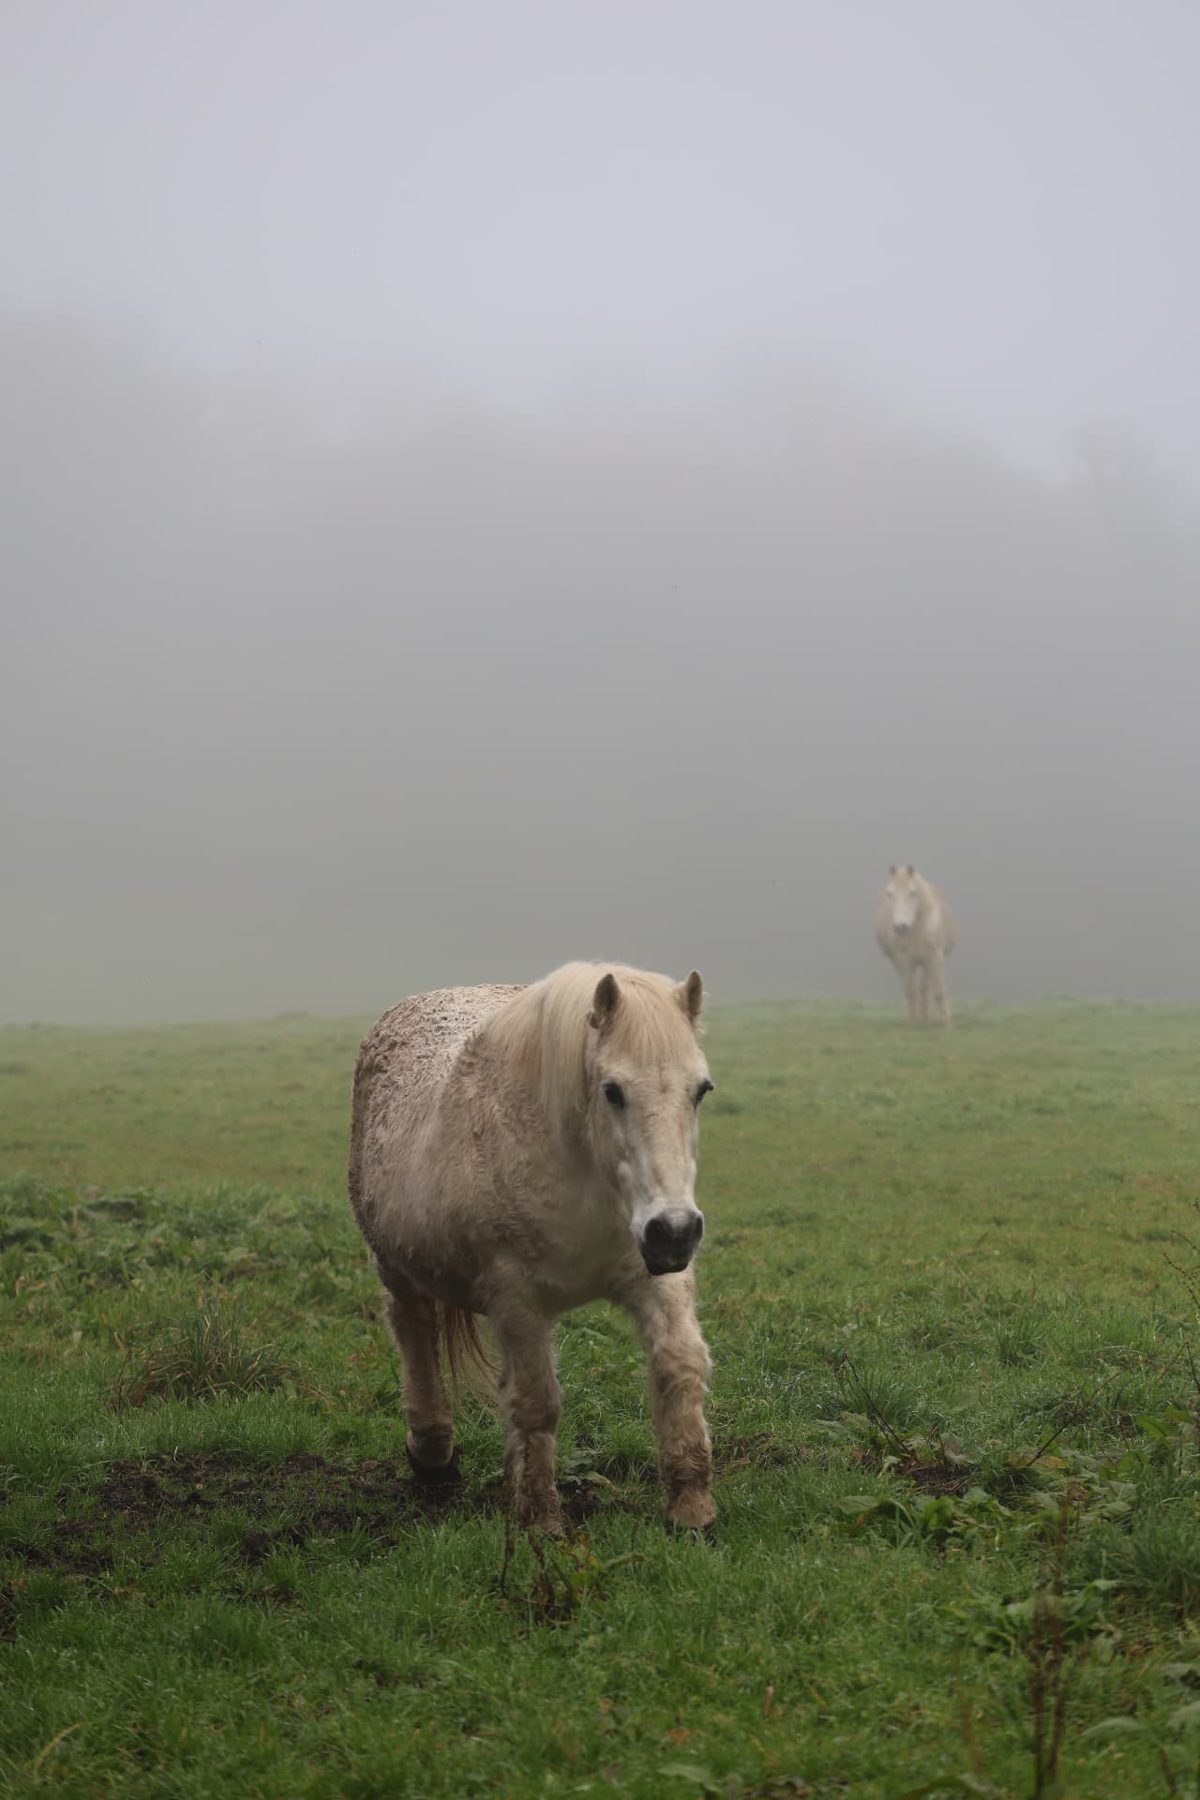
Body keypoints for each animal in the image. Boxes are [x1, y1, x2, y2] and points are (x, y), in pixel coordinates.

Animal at [348, 961, 718, 1533]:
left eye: (700, 1090)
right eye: (613, 1091)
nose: (674, 1230)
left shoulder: (655, 1276)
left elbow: (679, 1366)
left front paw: (691, 1507)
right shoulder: (516, 1299)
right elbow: (536, 1404)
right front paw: (539, 1520)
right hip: (395, 1266)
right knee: (414, 1331)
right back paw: (432, 1456)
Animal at [875, 865, 957, 1026]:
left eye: (913, 892)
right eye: (890, 893)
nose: (900, 926)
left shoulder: (935, 957)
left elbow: (938, 992)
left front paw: (947, 1024)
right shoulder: (904, 960)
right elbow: (910, 991)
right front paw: (913, 1023)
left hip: (925, 963)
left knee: (924, 988)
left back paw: (925, 1018)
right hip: (901, 962)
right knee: (913, 988)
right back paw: (921, 1019)